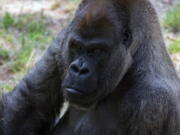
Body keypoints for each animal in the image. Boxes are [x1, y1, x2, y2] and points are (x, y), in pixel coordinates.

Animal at [0, 0, 180, 134]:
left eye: (97, 51)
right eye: (76, 47)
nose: (79, 69)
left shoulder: (152, 104)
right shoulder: (63, 38)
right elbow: (24, 107)